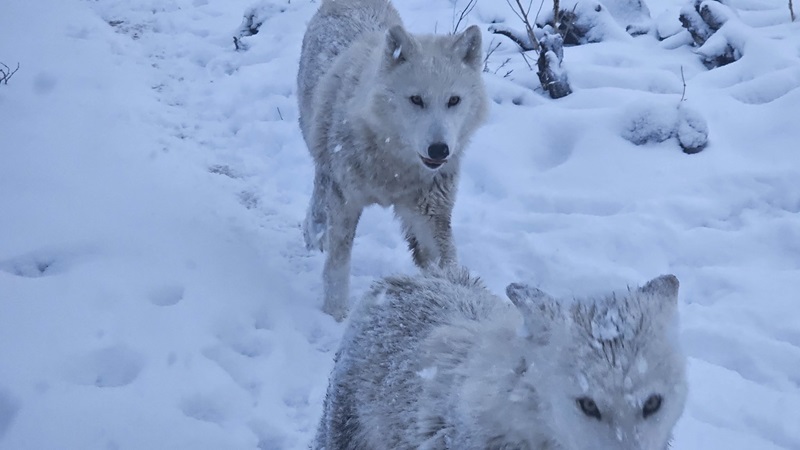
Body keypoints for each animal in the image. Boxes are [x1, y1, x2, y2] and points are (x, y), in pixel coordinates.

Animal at [298, 0, 490, 320]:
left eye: (454, 100)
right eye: (416, 100)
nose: (439, 150)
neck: (393, 171)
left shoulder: (430, 214)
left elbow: (445, 264)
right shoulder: (346, 201)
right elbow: (337, 266)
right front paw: (336, 315)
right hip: (320, 149)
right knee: (319, 188)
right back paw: (314, 233)